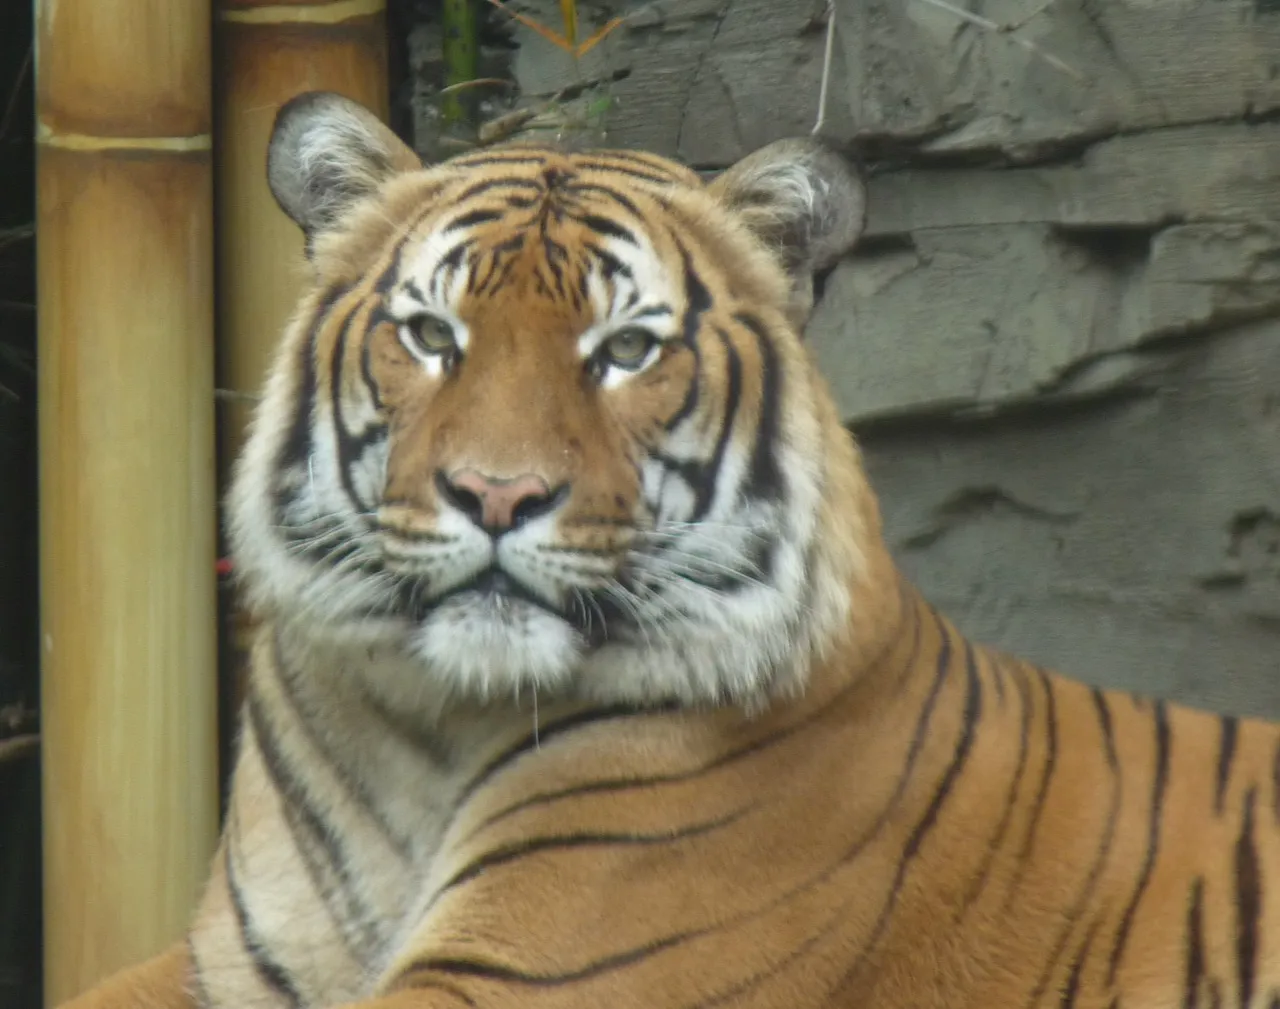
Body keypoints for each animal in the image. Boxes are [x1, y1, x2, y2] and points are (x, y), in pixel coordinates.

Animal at [64, 89, 1280, 1009]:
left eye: (626, 351)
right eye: (431, 335)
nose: (496, 494)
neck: (426, 730)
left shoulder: (522, 971)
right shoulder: (228, 964)